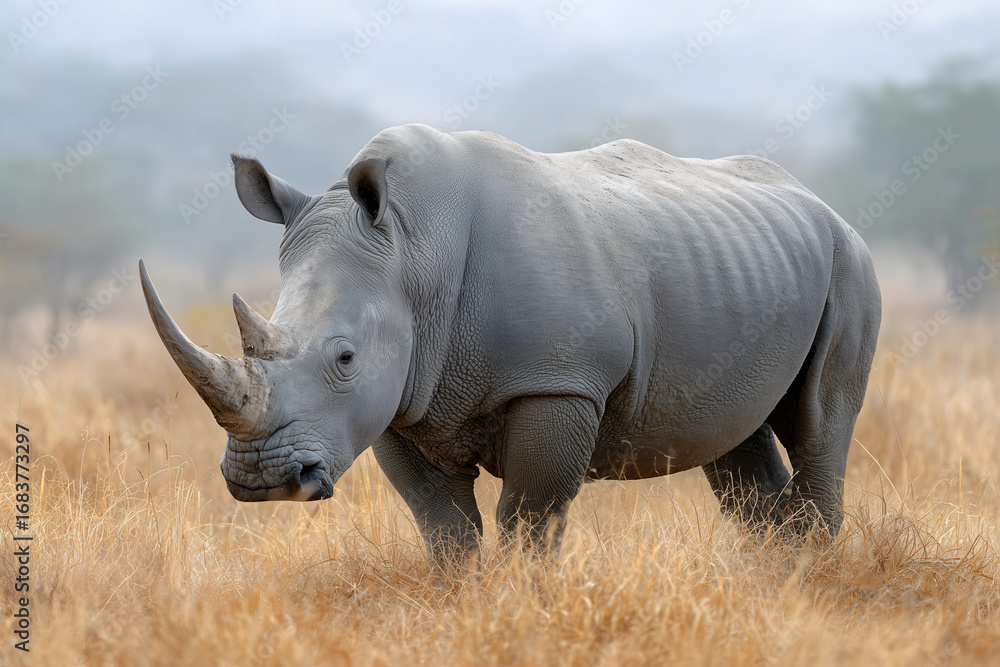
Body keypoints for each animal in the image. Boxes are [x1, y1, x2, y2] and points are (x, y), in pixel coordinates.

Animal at [140, 124, 881, 565]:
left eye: (345, 358)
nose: (262, 480)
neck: (413, 254)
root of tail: (820, 202)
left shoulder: (558, 380)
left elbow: (529, 519)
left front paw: (526, 606)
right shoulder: (402, 401)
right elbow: (445, 527)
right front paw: (462, 604)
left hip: (851, 262)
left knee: (819, 420)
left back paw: (808, 573)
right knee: (737, 443)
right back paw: (776, 573)